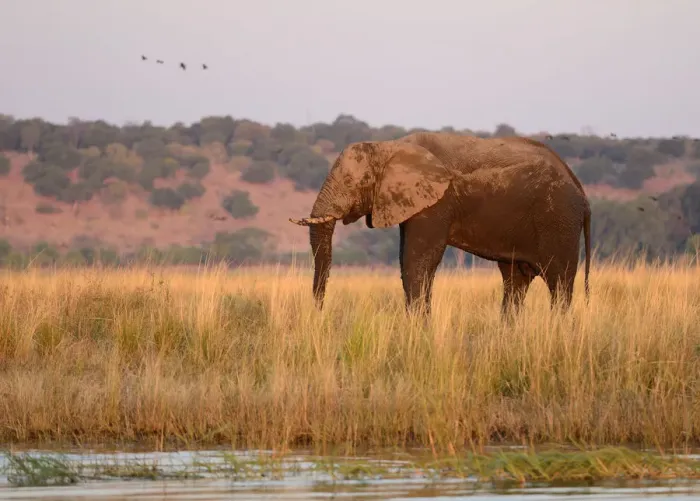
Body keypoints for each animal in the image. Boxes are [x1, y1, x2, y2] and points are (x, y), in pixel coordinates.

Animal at [289, 131, 591, 317]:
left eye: (352, 182)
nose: (319, 313)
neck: (390, 145)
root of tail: (581, 191)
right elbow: (407, 262)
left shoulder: (437, 203)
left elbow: (417, 262)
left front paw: (417, 330)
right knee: (515, 281)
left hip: (558, 220)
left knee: (559, 283)